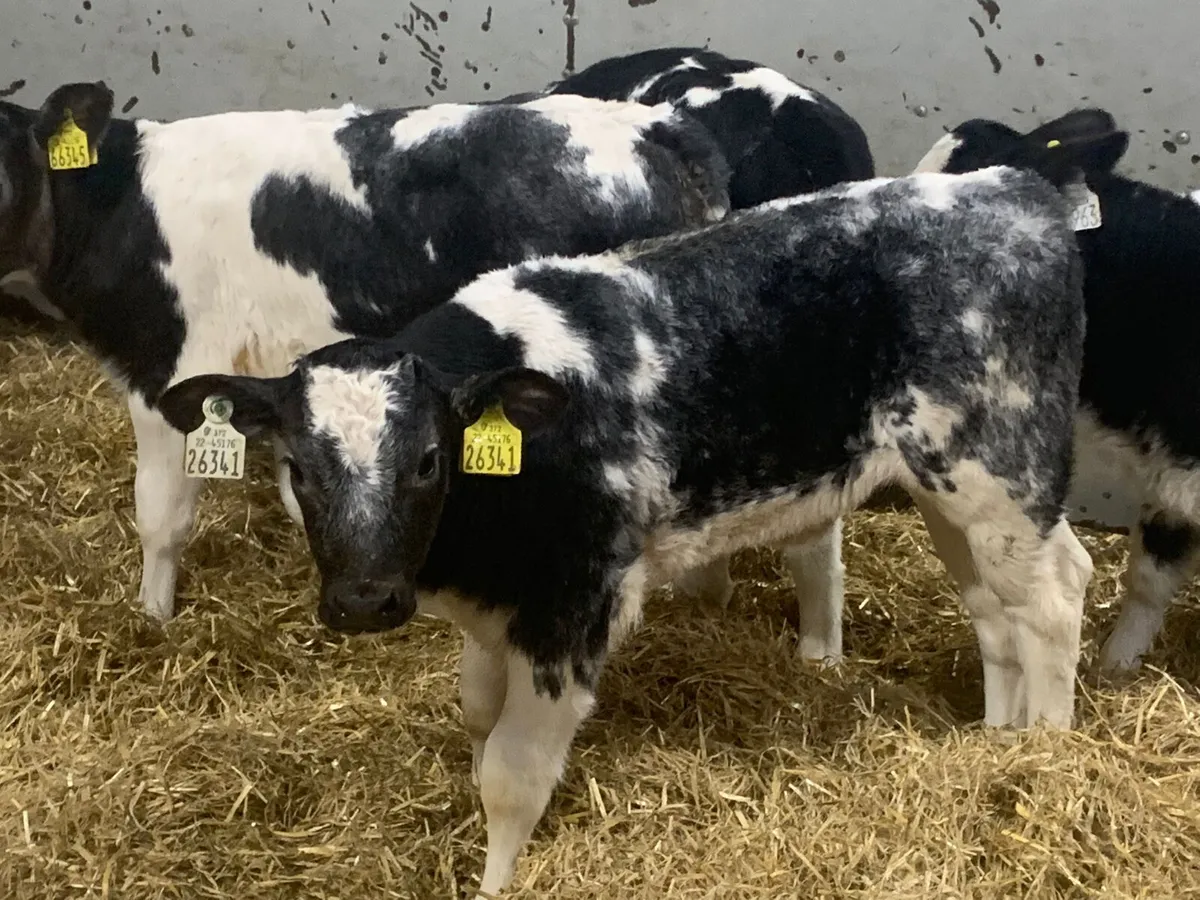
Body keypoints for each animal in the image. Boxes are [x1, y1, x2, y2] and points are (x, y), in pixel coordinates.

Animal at [157, 165, 1093, 893]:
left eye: (427, 459)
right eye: (297, 468)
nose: (363, 600)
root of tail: (1013, 189)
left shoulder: (576, 602)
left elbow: (511, 775)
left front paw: (497, 881)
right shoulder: (497, 612)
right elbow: (476, 717)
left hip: (1003, 464)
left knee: (1055, 596)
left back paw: (1047, 758)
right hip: (948, 485)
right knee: (996, 612)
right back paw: (996, 741)